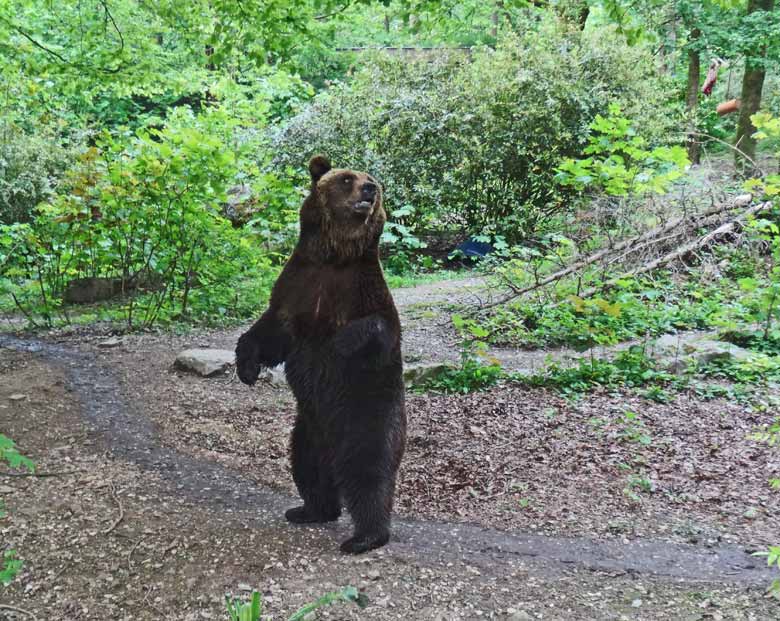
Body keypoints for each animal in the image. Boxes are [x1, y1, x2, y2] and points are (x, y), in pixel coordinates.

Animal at [236, 155, 408, 552]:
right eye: (347, 179)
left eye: (371, 178)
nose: (369, 190)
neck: (335, 257)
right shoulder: (298, 285)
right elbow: (271, 331)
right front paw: (246, 366)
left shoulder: (363, 290)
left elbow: (380, 330)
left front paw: (341, 343)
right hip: (307, 428)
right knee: (307, 466)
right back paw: (311, 509)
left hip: (369, 418)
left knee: (368, 472)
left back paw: (365, 536)